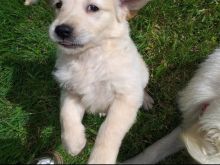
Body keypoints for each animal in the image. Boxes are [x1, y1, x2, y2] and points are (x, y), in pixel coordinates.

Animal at [24, 0, 153, 163]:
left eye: (93, 8)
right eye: (58, 4)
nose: (61, 30)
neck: (88, 56)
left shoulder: (125, 96)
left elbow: (109, 129)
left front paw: (100, 159)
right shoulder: (70, 90)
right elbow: (66, 114)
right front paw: (73, 143)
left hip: (143, 73)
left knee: (143, 88)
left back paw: (146, 100)